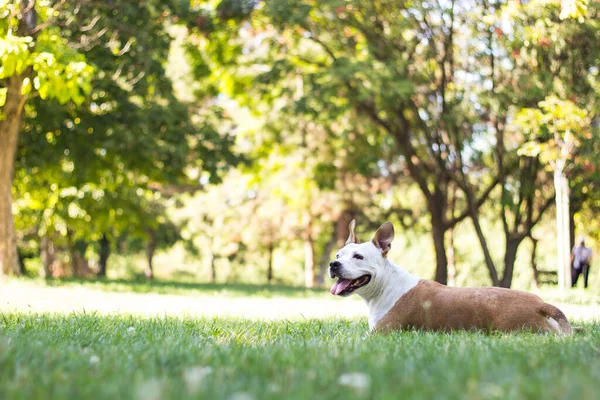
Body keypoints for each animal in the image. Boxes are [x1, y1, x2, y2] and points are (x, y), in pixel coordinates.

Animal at [330, 220, 576, 336]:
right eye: (339, 255)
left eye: (358, 257)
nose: (333, 264)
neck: (385, 285)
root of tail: (540, 304)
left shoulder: (380, 334)